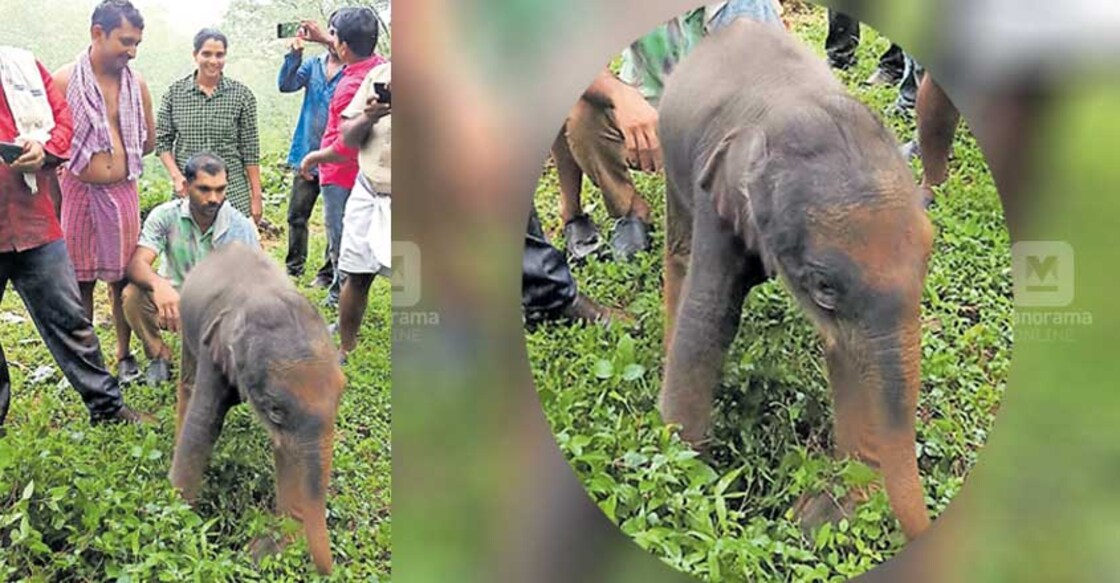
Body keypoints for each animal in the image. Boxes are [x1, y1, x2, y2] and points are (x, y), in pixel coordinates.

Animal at [168, 243, 345, 574]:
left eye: (342, 390)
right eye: (274, 409)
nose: (328, 573)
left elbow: (286, 450)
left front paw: (268, 549)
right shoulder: (213, 351)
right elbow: (203, 425)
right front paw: (177, 518)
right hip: (186, 325)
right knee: (186, 381)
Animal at [656, 19, 934, 539]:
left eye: (928, 255)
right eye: (824, 288)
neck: (788, 102)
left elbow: (847, 351)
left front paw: (831, 513)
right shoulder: (716, 199)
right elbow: (708, 320)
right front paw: (684, 481)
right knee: (679, 249)